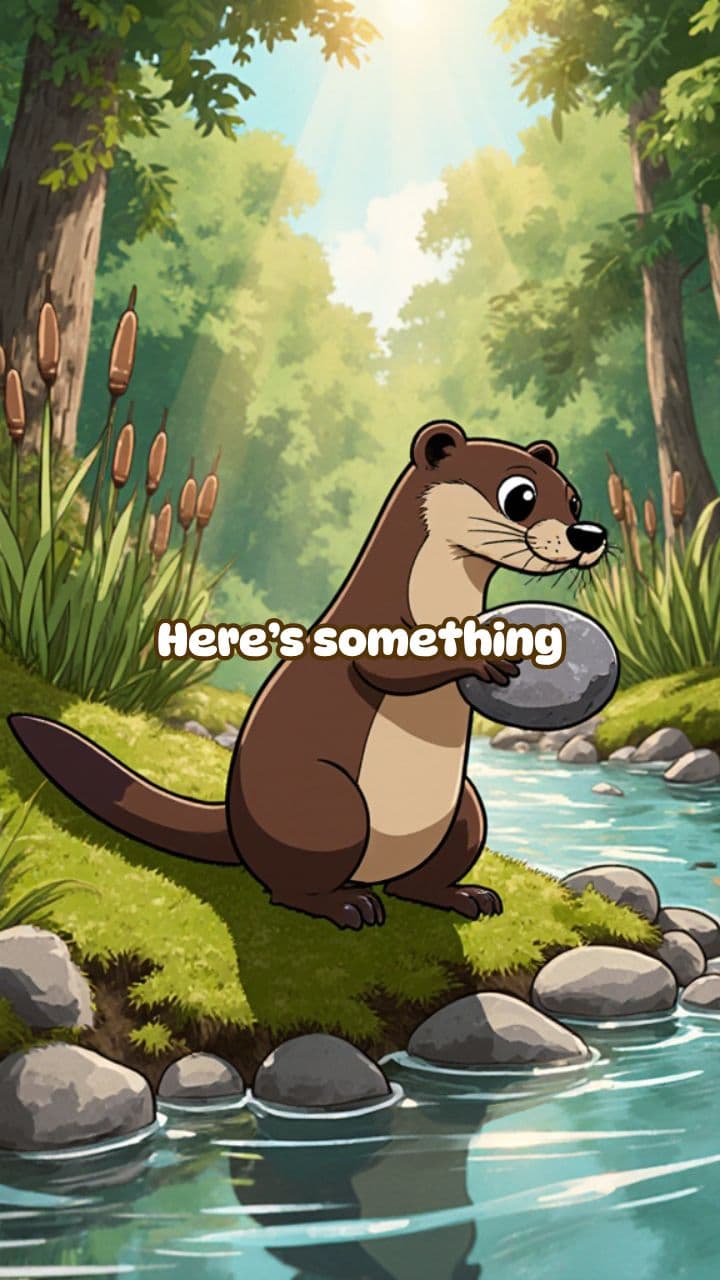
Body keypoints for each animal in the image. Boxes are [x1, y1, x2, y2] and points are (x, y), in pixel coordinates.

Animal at [9, 421, 607, 930]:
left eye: (573, 497)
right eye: (519, 496)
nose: (588, 533)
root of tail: (235, 821)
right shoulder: (371, 628)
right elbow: (393, 666)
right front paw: (484, 655)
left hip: (465, 810)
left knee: (418, 878)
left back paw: (463, 895)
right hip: (330, 805)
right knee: (288, 886)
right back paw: (344, 904)